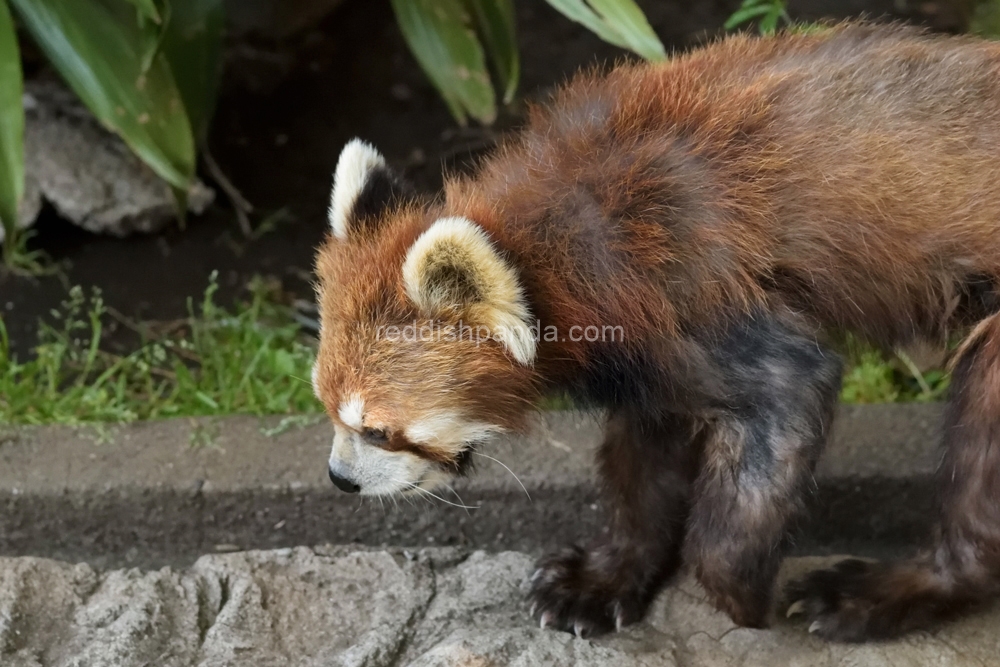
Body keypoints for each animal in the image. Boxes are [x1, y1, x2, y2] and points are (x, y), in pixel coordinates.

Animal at [316, 24, 1000, 640]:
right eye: (327, 409)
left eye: (377, 429)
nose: (340, 480)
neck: (555, 249)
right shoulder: (648, 345)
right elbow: (643, 465)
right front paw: (606, 580)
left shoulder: (696, 298)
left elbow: (785, 400)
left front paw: (738, 594)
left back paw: (884, 594)